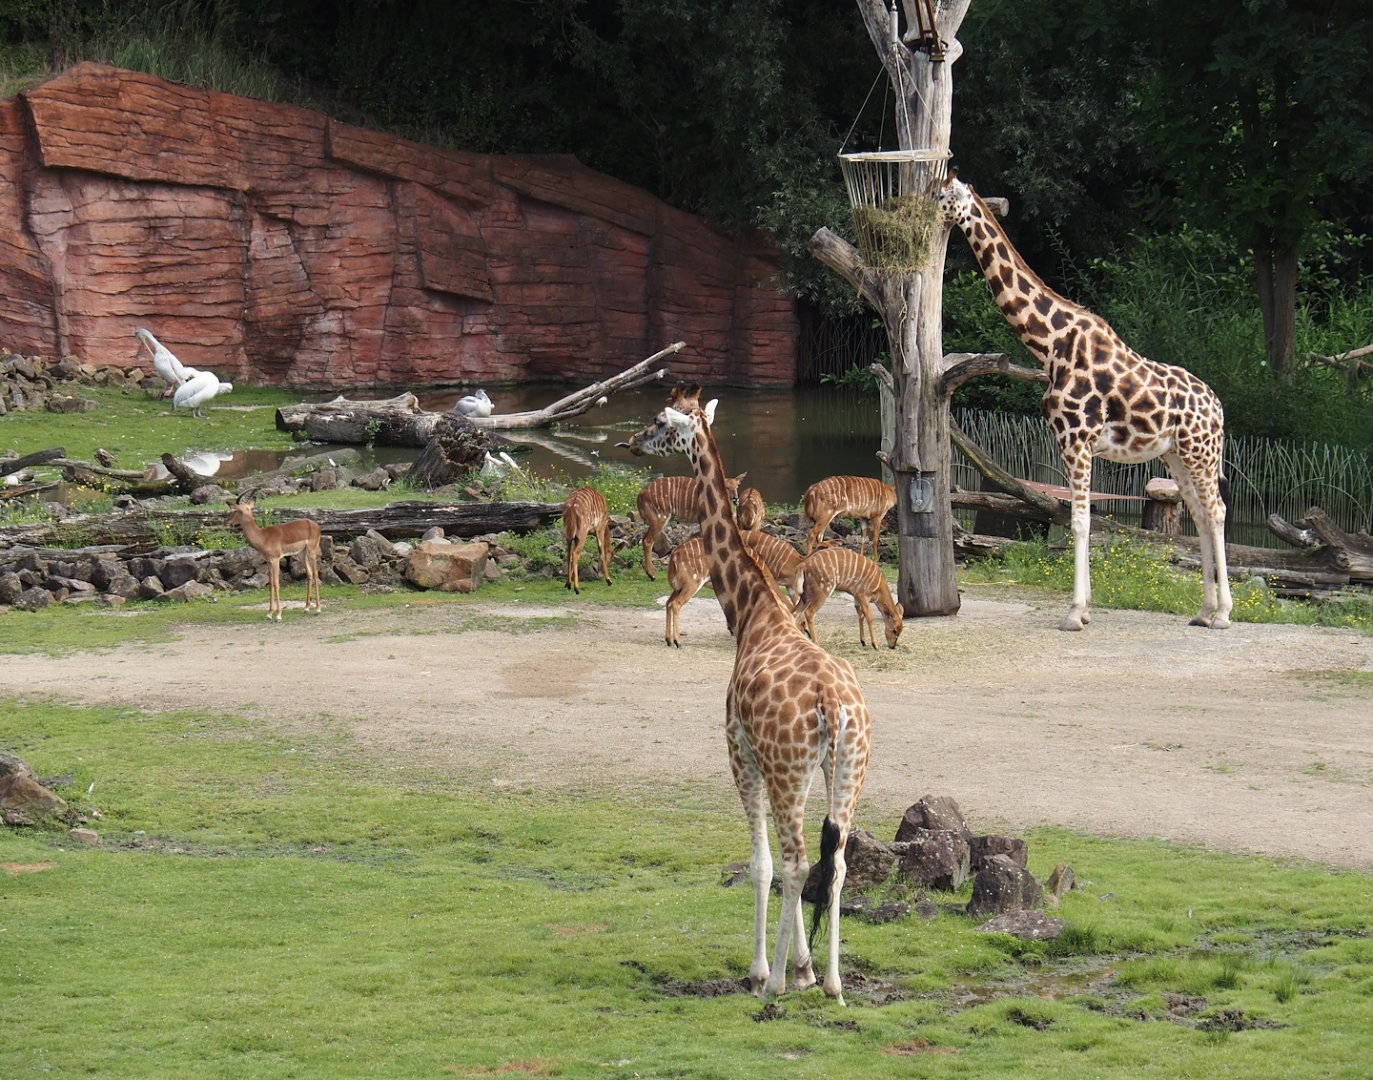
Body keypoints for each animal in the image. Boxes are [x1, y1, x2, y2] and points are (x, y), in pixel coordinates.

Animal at [620, 386, 872, 1005]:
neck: (752, 610)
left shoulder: (740, 753)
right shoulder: (799, 768)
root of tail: (835, 707)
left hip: (786, 769)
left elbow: (761, 864)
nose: (631, 441)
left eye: (660, 421)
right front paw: (807, 971)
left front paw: (769, 970)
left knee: (797, 862)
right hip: (848, 770)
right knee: (837, 863)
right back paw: (834, 985)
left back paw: (774, 984)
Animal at [938, 174, 1233, 632]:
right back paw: (1202, 611)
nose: (912, 213)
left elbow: (1079, 521)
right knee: (1200, 514)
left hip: (1200, 452)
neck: (1050, 345)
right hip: (1176, 455)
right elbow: (1084, 520)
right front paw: (1086, 608)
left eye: (940, 196)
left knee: (1216, 511)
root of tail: (1218, 408)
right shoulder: (1071, 442)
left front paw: (1075, 613)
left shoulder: (1075, 439)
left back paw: (1223, 614)